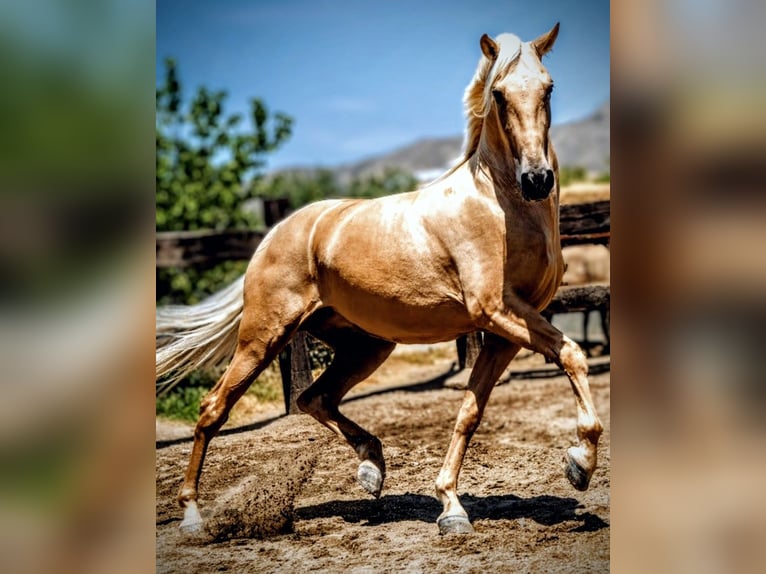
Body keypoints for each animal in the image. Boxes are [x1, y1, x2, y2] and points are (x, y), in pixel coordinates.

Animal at [156, 23, 604, 536]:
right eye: (499, 93)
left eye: (548, 88)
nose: (536, 180)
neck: (501, 207)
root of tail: (276, 233)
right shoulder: (496, 312)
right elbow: (571, 355)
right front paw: (580, 464)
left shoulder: (504, 333)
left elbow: (470, 412)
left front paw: (451, 506)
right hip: (263, 335)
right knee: (214, 408)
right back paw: (193, 516)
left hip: (366, 345)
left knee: (315, 398)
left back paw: (372, 469)